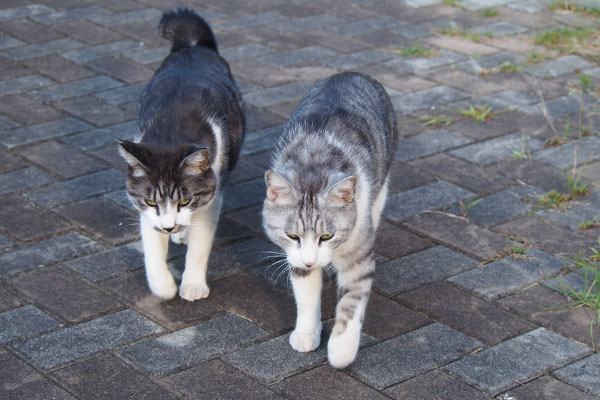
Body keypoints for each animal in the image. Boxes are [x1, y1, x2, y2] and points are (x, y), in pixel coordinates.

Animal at [118, 7, 244, 302]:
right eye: (151, 202)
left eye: (185, 200)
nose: (168, 226)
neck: (172, 131)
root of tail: (192, 46)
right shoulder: (146, 211)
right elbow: (152, 250)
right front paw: (163, 286)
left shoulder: (212, 194)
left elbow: (200, 246)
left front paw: (193, 284)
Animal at [264, 72, 396, 368]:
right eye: (292, 236)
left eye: (327, 236)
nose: (311, 261)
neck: (315, 160)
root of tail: (352, 73)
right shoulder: (295, 257)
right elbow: (306, 297)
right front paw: (306, 334)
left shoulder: (359, 257)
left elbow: (352, 303)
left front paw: (341, 351)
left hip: (381, 187)